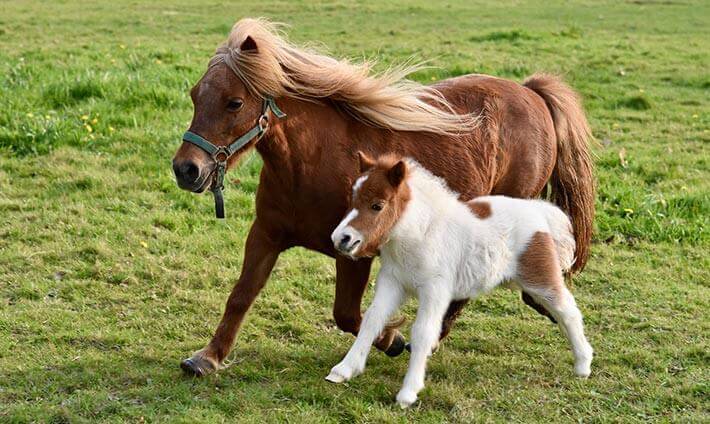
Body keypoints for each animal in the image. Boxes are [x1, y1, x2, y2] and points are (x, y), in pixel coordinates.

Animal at [172, 18, 596, 376]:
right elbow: (241, 295)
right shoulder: (266, 234)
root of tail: (531, 92)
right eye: (194, 95)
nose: (186, 169)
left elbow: (347, 314)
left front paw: (391, 339)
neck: (312, 162)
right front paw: (208, 357)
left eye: (234, 102)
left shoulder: (354, 252)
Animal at [328, 152, 596, 408]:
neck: (419, 235)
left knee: (568, 311)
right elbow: (372, 319)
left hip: (540, 278)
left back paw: (583, 364)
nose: (341, 238)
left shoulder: (435, 290)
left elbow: (423, 332)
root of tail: (538, 210)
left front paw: (408, 393)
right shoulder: (392, 282)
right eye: (352, 200)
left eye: (377, 205)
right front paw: (344, 370)